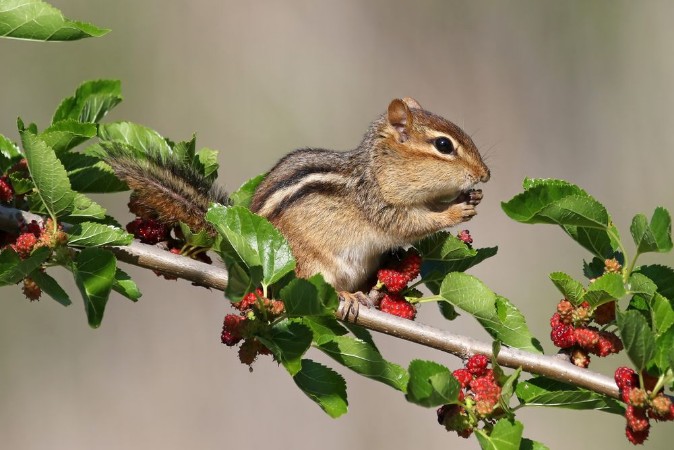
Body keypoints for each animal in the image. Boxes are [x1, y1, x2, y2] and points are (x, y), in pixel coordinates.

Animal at [104, 97, 490, 310]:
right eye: (444, 145)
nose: (485, 174)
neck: (378, 169)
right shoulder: (378, 203)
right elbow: (411, 224)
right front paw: (455, 210)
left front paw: (470, 196)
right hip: (306, 260)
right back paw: (347, 297)